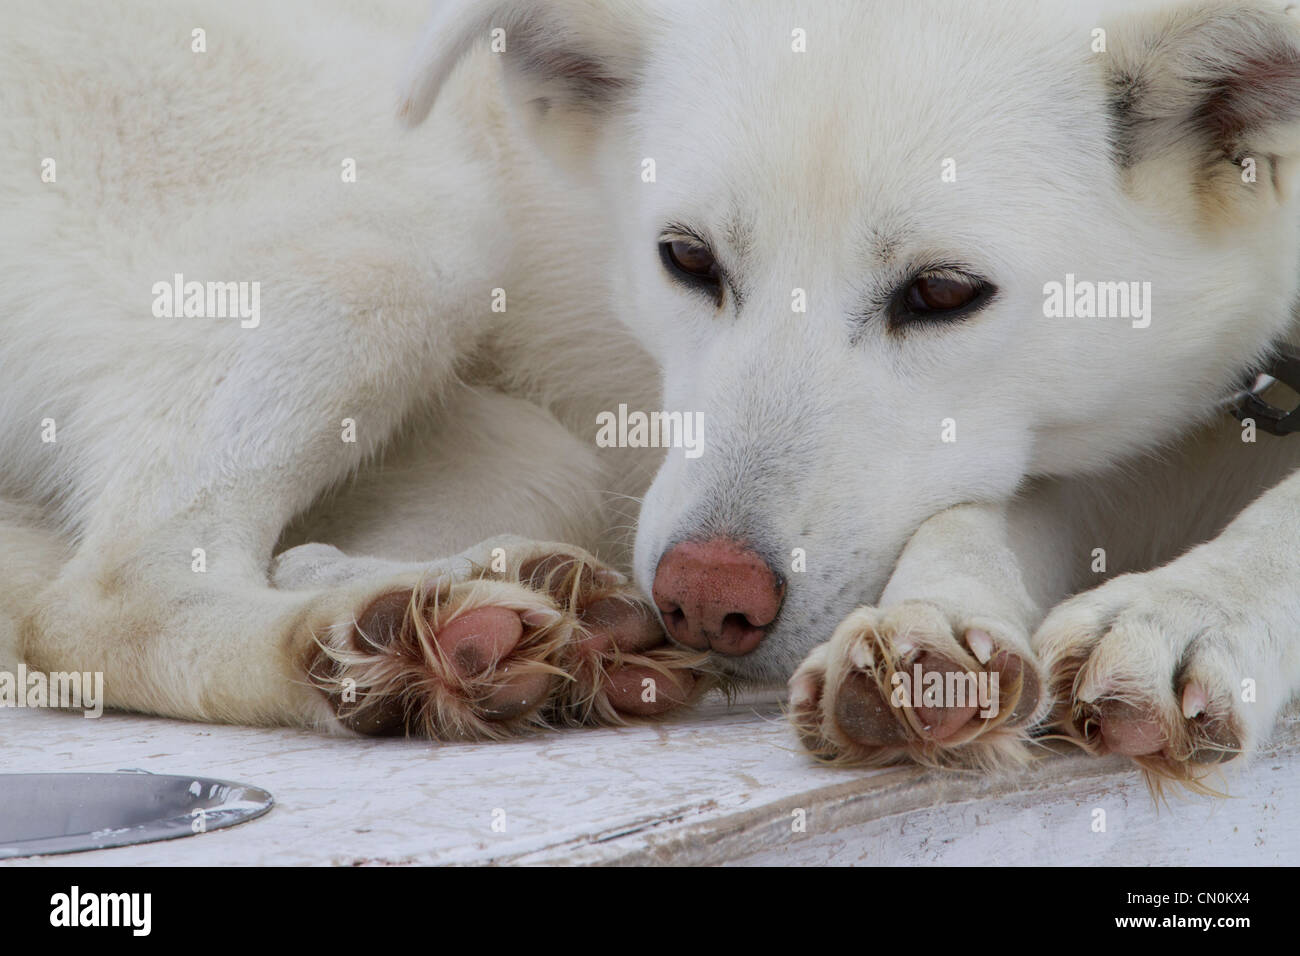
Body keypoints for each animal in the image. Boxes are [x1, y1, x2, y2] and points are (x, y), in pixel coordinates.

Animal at [2, 0, 1300, 790]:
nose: (702, 598)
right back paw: (392, 644)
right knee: (96, 603)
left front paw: (1181, 607)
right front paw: (932, 620)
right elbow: (974, 513)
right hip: (412, 230)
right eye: (686, 258)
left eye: (942, 291)